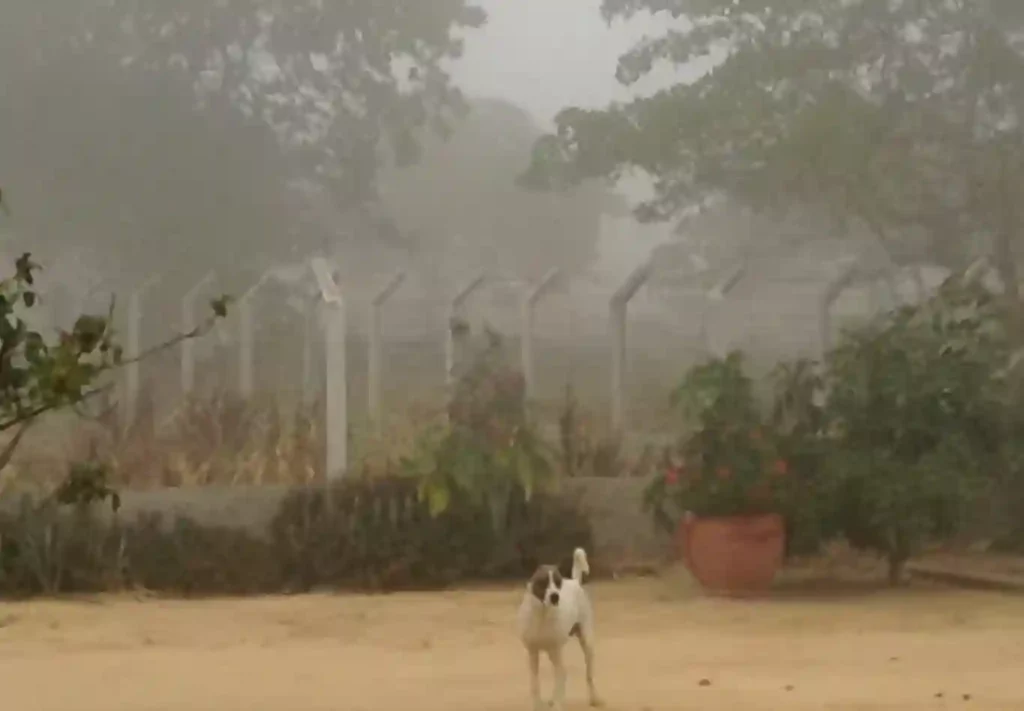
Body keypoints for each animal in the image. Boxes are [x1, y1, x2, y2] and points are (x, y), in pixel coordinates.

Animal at [520, 549, 598, 708]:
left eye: (558, 582)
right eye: (543, 581)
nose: (555, 596)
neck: (542, 615)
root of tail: (574, 581)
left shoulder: (555, 651)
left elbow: (560, 679)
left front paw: (557, 705)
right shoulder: (533, 652)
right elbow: (535, 684)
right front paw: (538, 705)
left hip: (586, 643)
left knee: (587, 674)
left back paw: (594, 698)